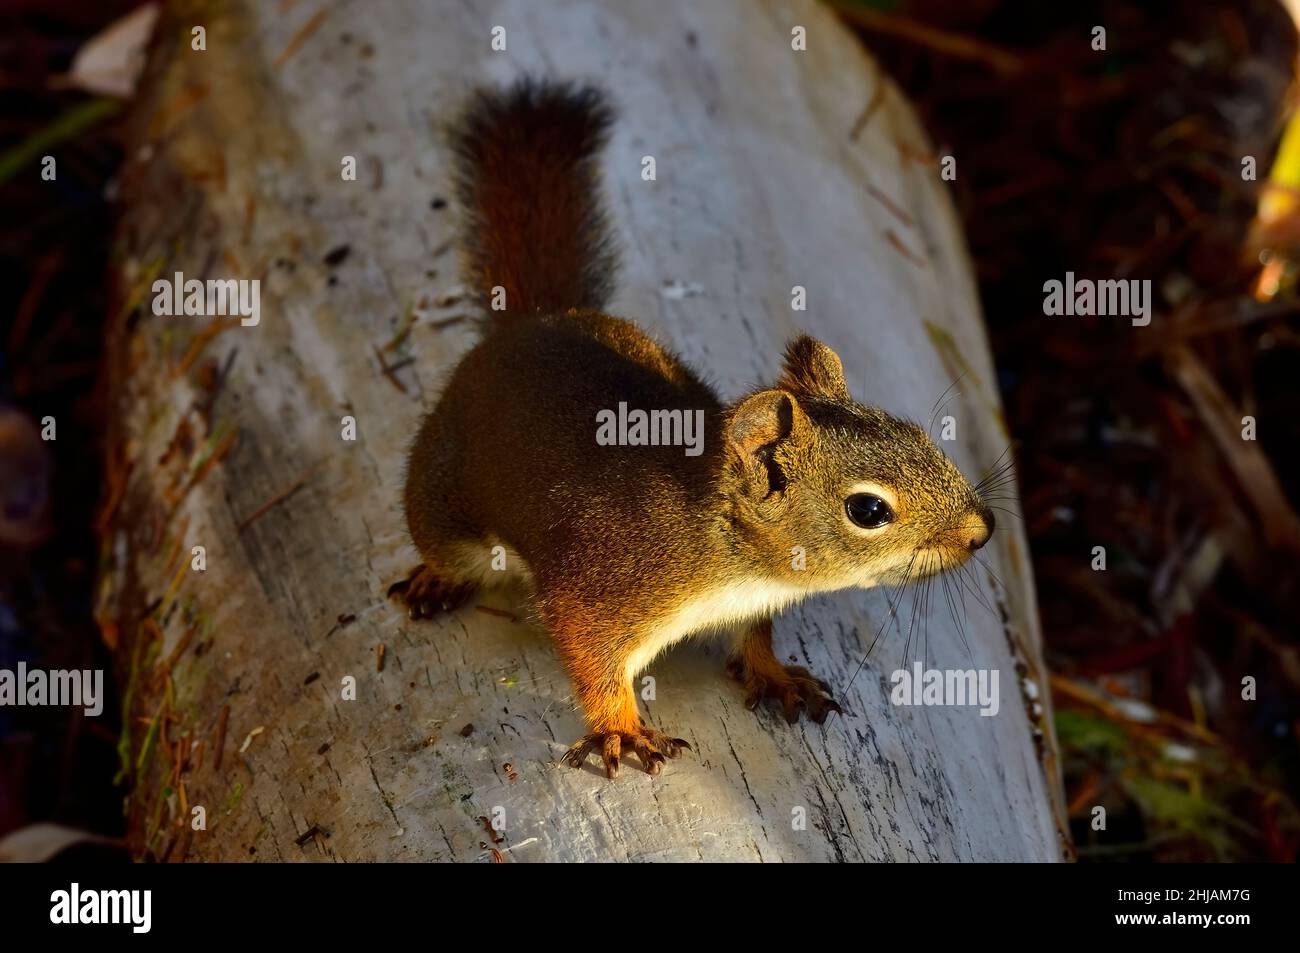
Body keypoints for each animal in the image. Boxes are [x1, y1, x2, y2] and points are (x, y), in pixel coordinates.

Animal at [387, 79, 993, 780]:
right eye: (868, 510)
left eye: (919, 434)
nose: (982, 530)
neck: (737, 554)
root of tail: (527, 323)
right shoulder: (603, 586)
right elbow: (594, 663)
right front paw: (622, 729)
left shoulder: (752, 602)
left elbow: (754, 637)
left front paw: (773, 674)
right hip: (442, 500)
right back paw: (434, 580)